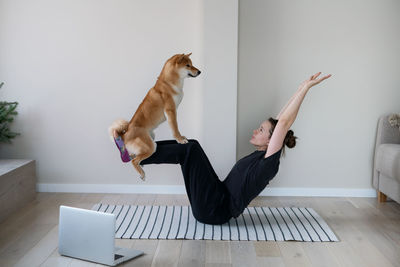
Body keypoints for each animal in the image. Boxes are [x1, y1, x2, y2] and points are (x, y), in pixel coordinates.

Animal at [108, 53, 200, 181]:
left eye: (192, 64)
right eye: (188, 65)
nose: (199, 71)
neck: (169, 84)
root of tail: (124, 135)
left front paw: (180, 137)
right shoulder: (170, 111)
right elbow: (175, 128)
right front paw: (180, 139)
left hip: (151, 137)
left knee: (133, 156)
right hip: (151, 146)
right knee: (135, 161)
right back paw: (141, 173)